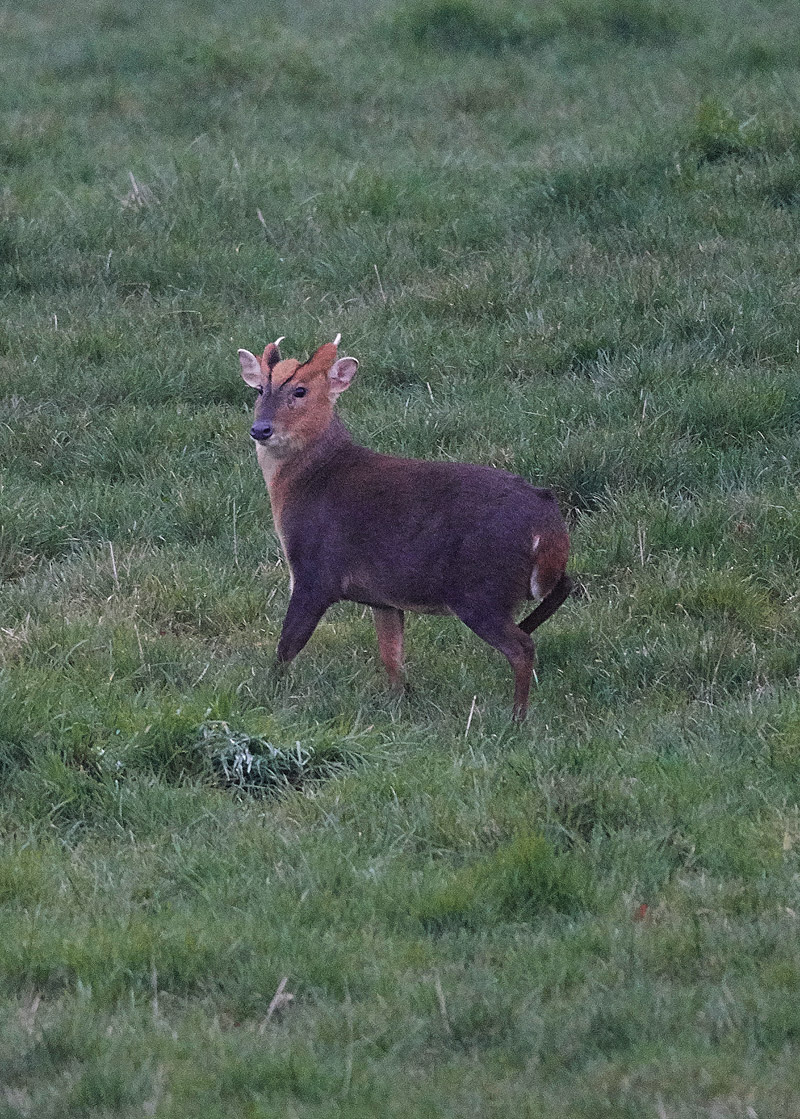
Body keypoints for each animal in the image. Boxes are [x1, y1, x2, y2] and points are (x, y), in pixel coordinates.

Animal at [234, 333, 572, 716]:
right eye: (259, 389)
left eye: (301, 390)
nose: (261, 429)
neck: (311, 478)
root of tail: (547, 522)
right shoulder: (383, 595)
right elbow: (391, 652)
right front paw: (399, 701)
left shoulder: (315, 572)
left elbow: (287, 645)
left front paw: (267, 694)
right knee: (561, 589)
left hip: (481, 589)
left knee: (522, 646)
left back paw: (517, 716)